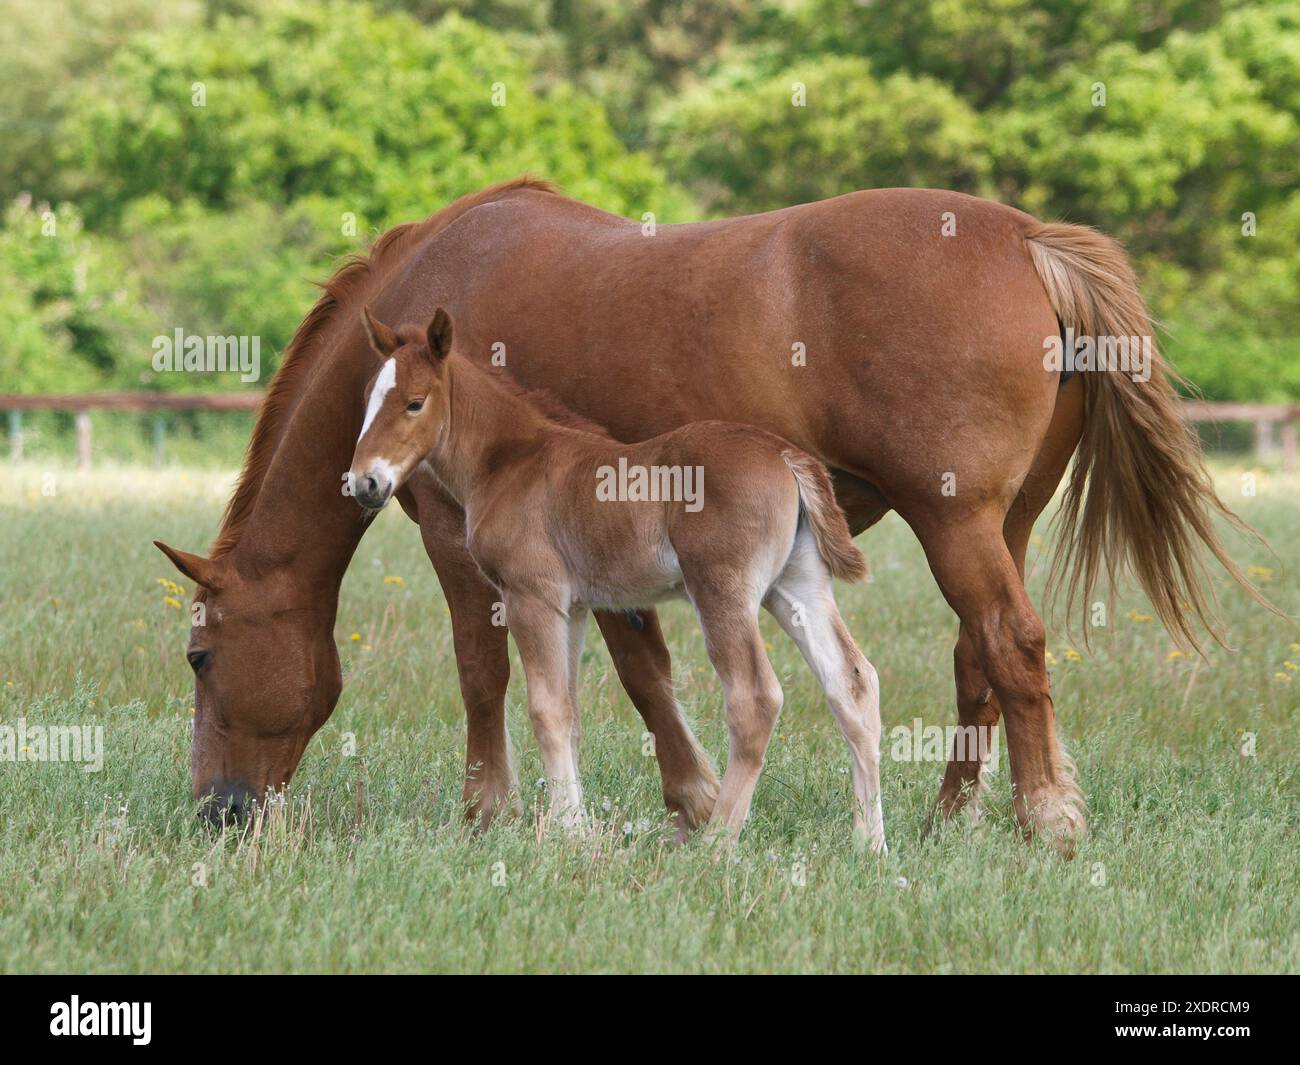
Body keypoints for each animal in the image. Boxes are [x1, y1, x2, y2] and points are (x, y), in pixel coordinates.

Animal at [345, 306, 885, 849]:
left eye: (414, 403)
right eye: (367, 399)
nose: (365, 482)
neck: (510, 460)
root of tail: (785, 456)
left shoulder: (530, 596)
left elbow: (547, 711)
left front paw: (565, 835)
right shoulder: (573, 606)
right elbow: (569, 714)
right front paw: (576, 827)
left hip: (722, 589)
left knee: (755, 699)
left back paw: (715, 843)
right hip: (796, 586)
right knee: (853, 683)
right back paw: (869, 843)